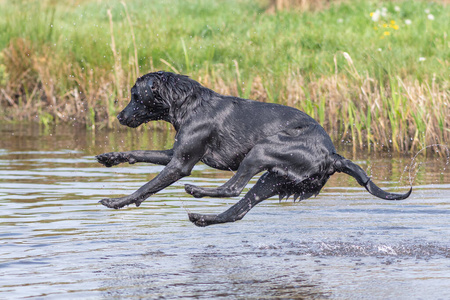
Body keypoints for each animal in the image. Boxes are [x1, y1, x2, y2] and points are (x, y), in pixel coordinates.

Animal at [96, 71, 412, 226]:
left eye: (135, 95)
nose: (120, 116)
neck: (189, 104)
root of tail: (332, 156)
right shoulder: (175, 155)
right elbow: (139, 154)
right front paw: (109, 157)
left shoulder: (181, 164)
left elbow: (146, 187)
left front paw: (117, 202)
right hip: (273, 180)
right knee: (238, 210)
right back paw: (203, 218)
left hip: (261, 151)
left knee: (233, 189)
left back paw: (197, 192)